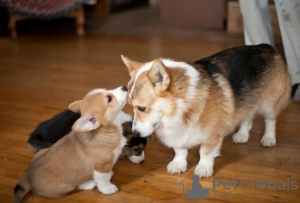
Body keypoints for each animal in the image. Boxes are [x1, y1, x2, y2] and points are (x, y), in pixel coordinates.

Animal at [121, 44, 290, 178]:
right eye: (130, 105)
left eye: (142, 108)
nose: (134, 134)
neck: (181, 105)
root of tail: (266, 46)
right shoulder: (178, 133)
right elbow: (180, 150)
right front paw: (178, 164)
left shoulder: (212, 135)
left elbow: (205, 153)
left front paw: (203, 169)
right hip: (248, 101)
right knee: (247, 116)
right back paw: (242, 135)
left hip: (270, 104)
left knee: (270, 121)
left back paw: (268, 138)